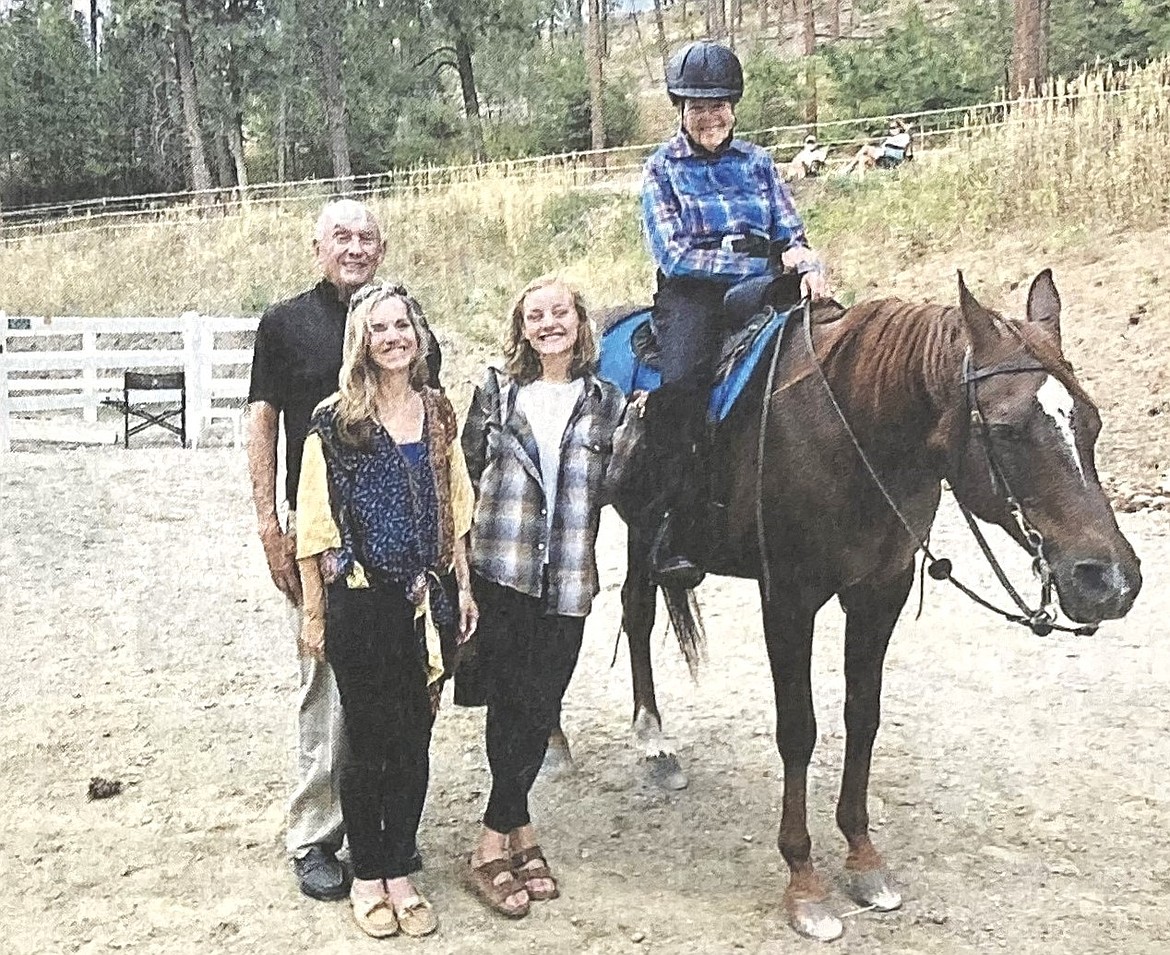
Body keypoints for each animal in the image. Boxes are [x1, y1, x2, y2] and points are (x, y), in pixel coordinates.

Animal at [603, 269, 1141, 940]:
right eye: (1007, 429)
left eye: (1091, 423)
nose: (1111, 580)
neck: (852, 434)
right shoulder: (789, 599)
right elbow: (798, 730)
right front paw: (804, 883)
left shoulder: (879, 594)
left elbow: (863, 717)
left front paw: (863, 860)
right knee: (629, 611)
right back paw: (647, 743)